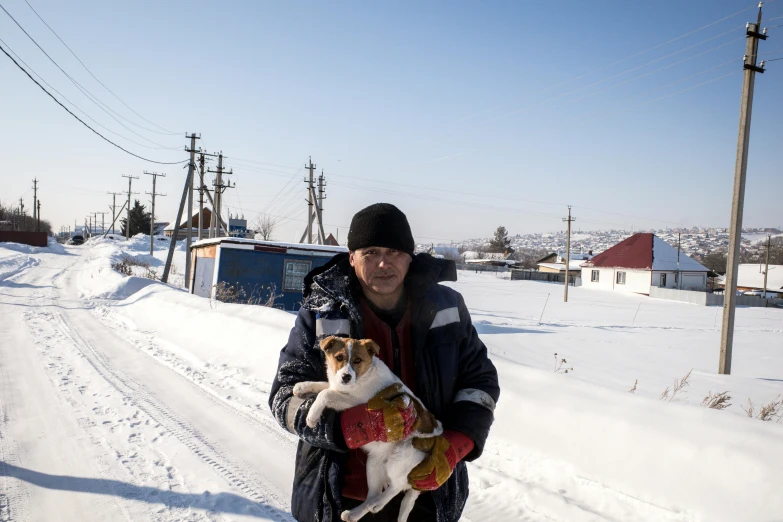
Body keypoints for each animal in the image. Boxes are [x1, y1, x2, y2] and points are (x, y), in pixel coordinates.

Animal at [292, 336, 444, 520]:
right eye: (339, 357)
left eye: (358, 360)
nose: (346, 377)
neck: (363, 377)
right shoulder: (339, 388)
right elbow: (324, 385)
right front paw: (302, 386)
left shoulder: (356, 402)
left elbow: (326, 393)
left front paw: (312, 416)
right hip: (373, 465)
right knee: (373, 494)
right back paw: (354, 513)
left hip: (402, 456)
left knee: (397, 486)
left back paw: (378, 503)